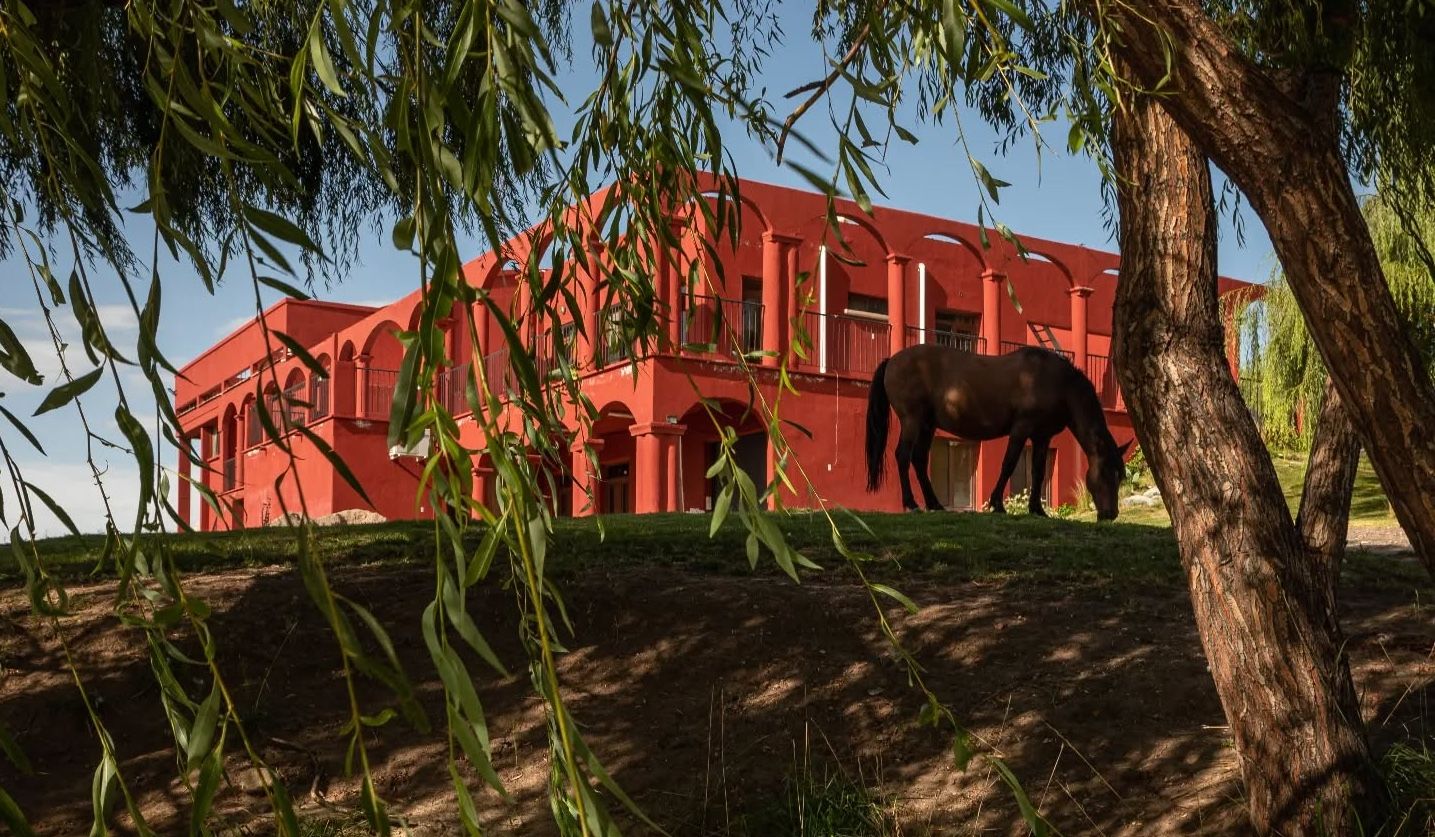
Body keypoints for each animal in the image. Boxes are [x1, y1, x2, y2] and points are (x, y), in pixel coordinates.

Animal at [860, 345, 1130, 516]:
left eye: (1121, 475)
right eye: (1107, 472)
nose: (1111, 514)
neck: (1058, 383)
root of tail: (892, 360)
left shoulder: (1042, 436)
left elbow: (1038, 472)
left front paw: (1037, 509)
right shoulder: (1021, 429)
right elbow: (1008, 464)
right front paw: (997, 504)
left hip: (927, 425)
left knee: (918, 460)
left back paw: (934, 504)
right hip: (912, 421)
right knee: (903, 456)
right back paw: (912, 503)